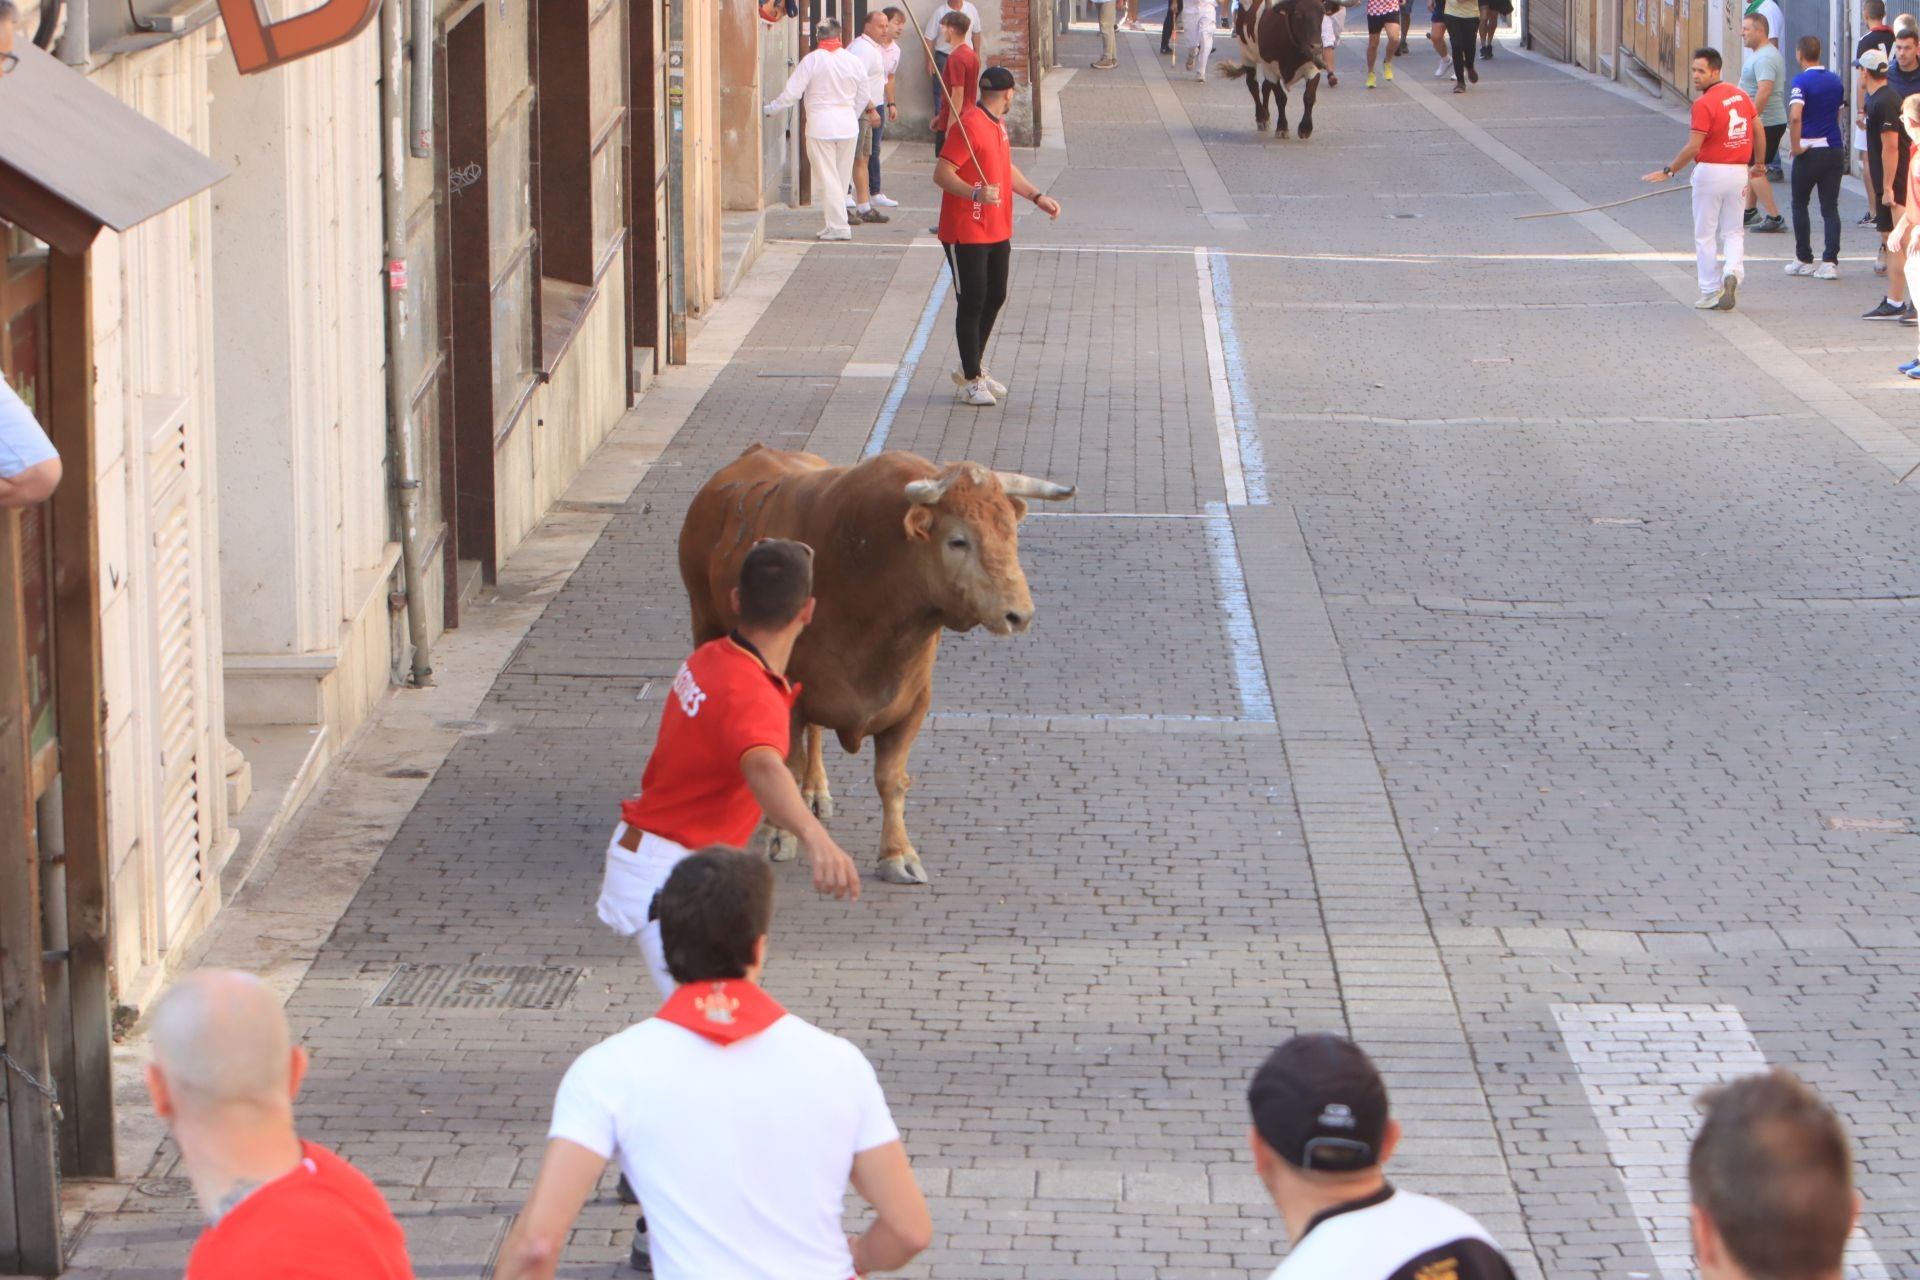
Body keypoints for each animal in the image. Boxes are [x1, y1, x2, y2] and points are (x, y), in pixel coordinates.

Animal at [679, 445, 1075, 886]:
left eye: (1011, 533)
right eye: (958, 540)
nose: (1018, 615)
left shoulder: (914, 701)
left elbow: (890, 780)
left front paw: (897, 852)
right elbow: (786, 765)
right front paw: (777, 833)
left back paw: (816, 791)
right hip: (704, 621)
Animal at [1221, 0, 1359, 140]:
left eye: (1323, 12)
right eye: (1298, 13)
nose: (1316, 47)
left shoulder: (1313, 68)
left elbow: (1309, 97)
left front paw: (1305, 128)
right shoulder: (1271, 69)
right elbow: (1281, 98)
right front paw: (1282, 127)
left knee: (1265, 87)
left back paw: (1266, 116)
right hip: (1247, 54)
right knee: (1253, 85)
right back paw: (1261, 118)